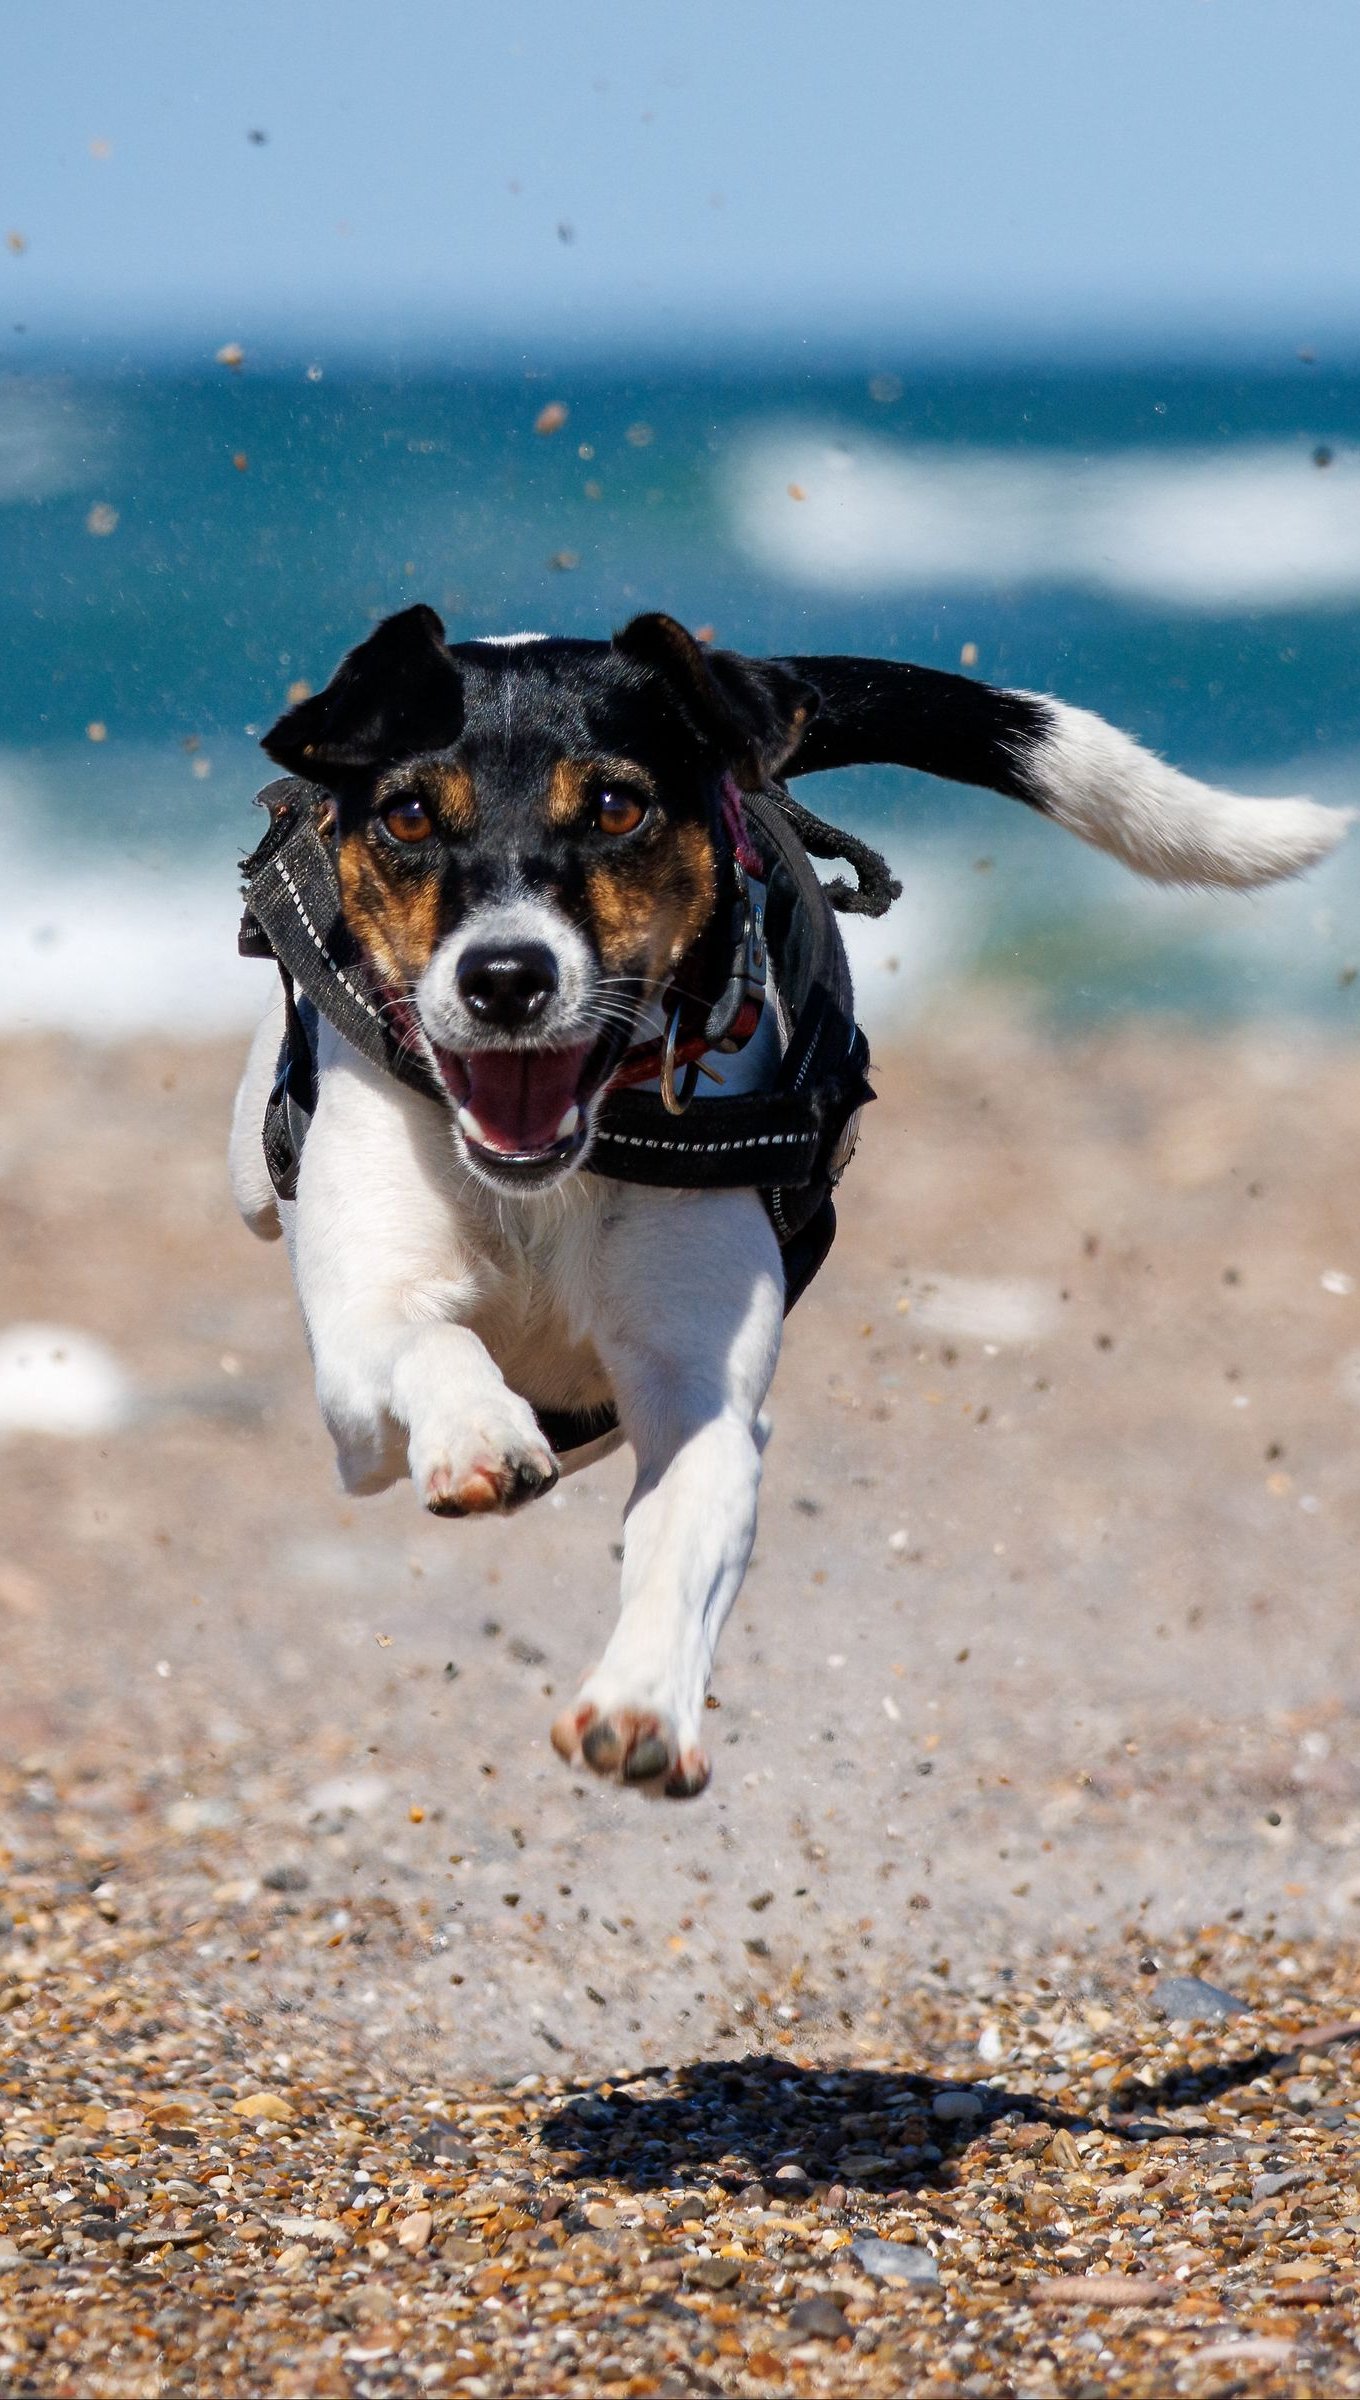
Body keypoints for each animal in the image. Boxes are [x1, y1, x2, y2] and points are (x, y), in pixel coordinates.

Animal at [229, 609, 1343, 1795]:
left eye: (617, 806)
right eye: (407, 815)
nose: (506, 977)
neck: (545, 1181)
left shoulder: (700, 1392)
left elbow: (686, 1537)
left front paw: (640, 1702)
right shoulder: (359, 1348)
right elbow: (428, 1342)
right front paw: (480, 1433)